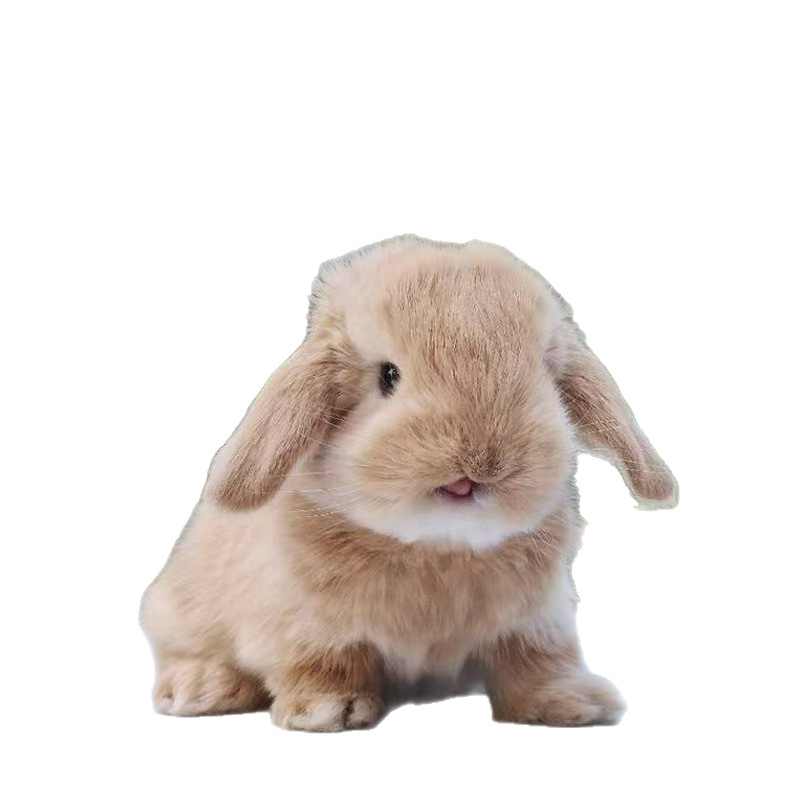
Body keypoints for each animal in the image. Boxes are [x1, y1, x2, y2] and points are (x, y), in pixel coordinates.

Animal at [140, 234, 678, 731]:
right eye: (388, 376)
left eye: (542, 377)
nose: (478, 462)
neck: (437, 547)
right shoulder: (306, 624)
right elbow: (323, 660)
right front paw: (328, 709)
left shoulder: (536, 621)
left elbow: (537, 662)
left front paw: (573, 702)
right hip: (180, 612)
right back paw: (201, 688)